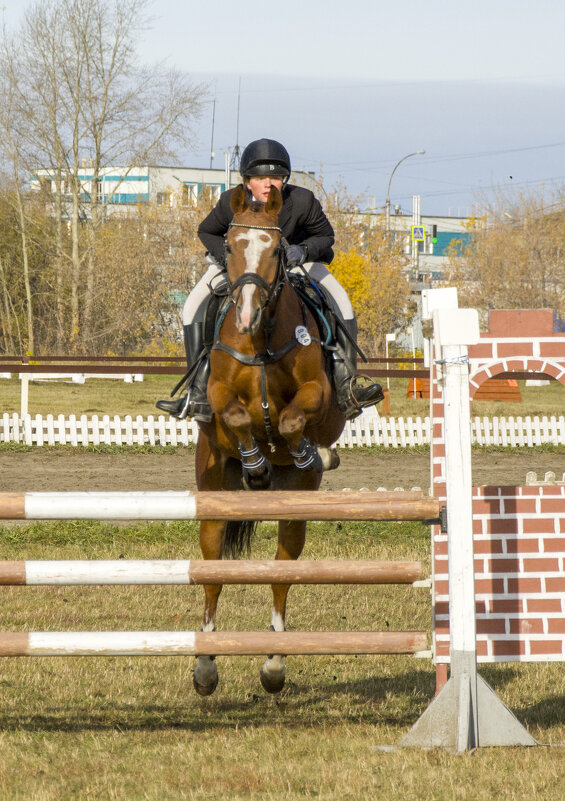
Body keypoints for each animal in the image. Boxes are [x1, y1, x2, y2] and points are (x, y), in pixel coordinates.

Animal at [193, 186, 344, 692]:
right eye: (229, 245)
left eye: (278, 250)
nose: (246, 313)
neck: (260, 339)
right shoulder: (220, 394)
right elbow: (237, 413)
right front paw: (255, 463)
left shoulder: (318, 393)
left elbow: (294, 421)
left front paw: (303, 453)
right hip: (213, 496)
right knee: (212, 572)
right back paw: (205, 665)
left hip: (295, 507)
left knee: (281, 572)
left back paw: (274, 663)